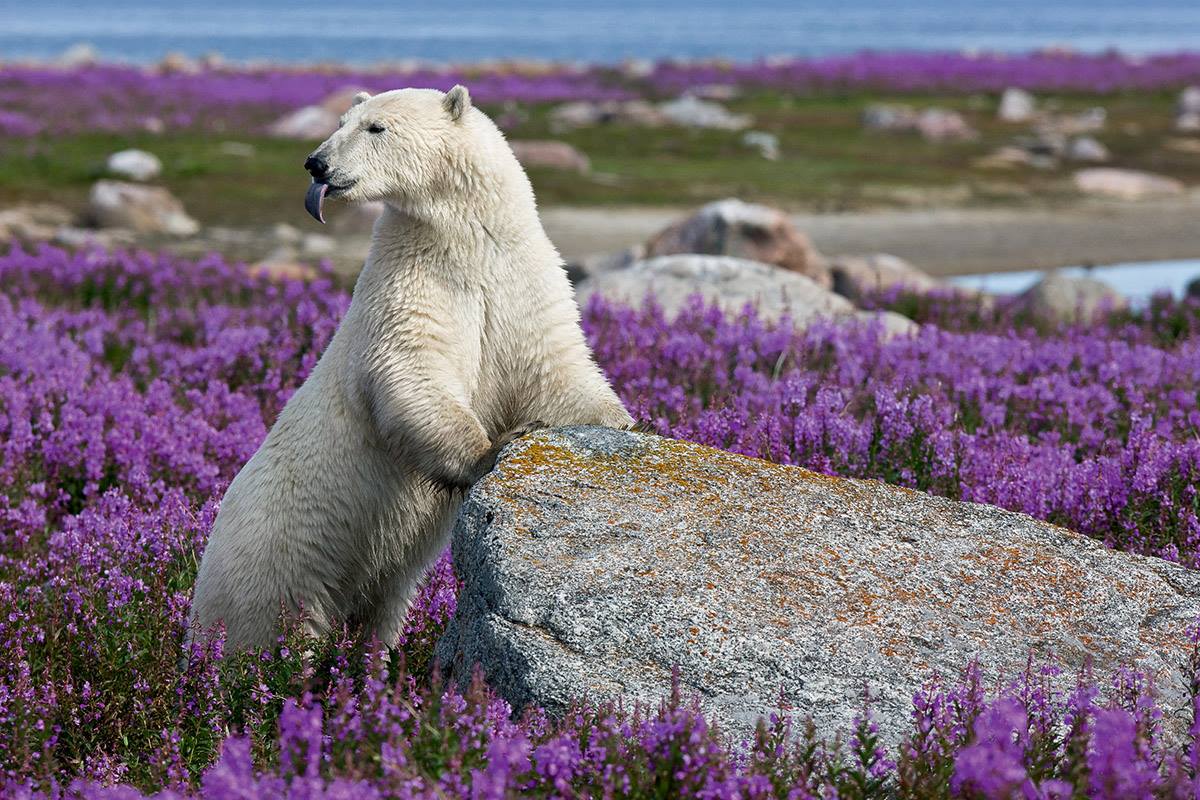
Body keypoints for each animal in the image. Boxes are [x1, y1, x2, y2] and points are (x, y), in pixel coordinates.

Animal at [189, 86, 628, 652]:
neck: (464, 241)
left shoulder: (519, 281)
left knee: (381, 612)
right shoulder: (412, 283)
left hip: (381, 579)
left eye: (375, 127)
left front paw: (621, 421)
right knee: (268, 633)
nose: (316, 163)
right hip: (275, 561)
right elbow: (412, 369)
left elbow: (554, 365)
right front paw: (490, 452)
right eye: (341, 121)